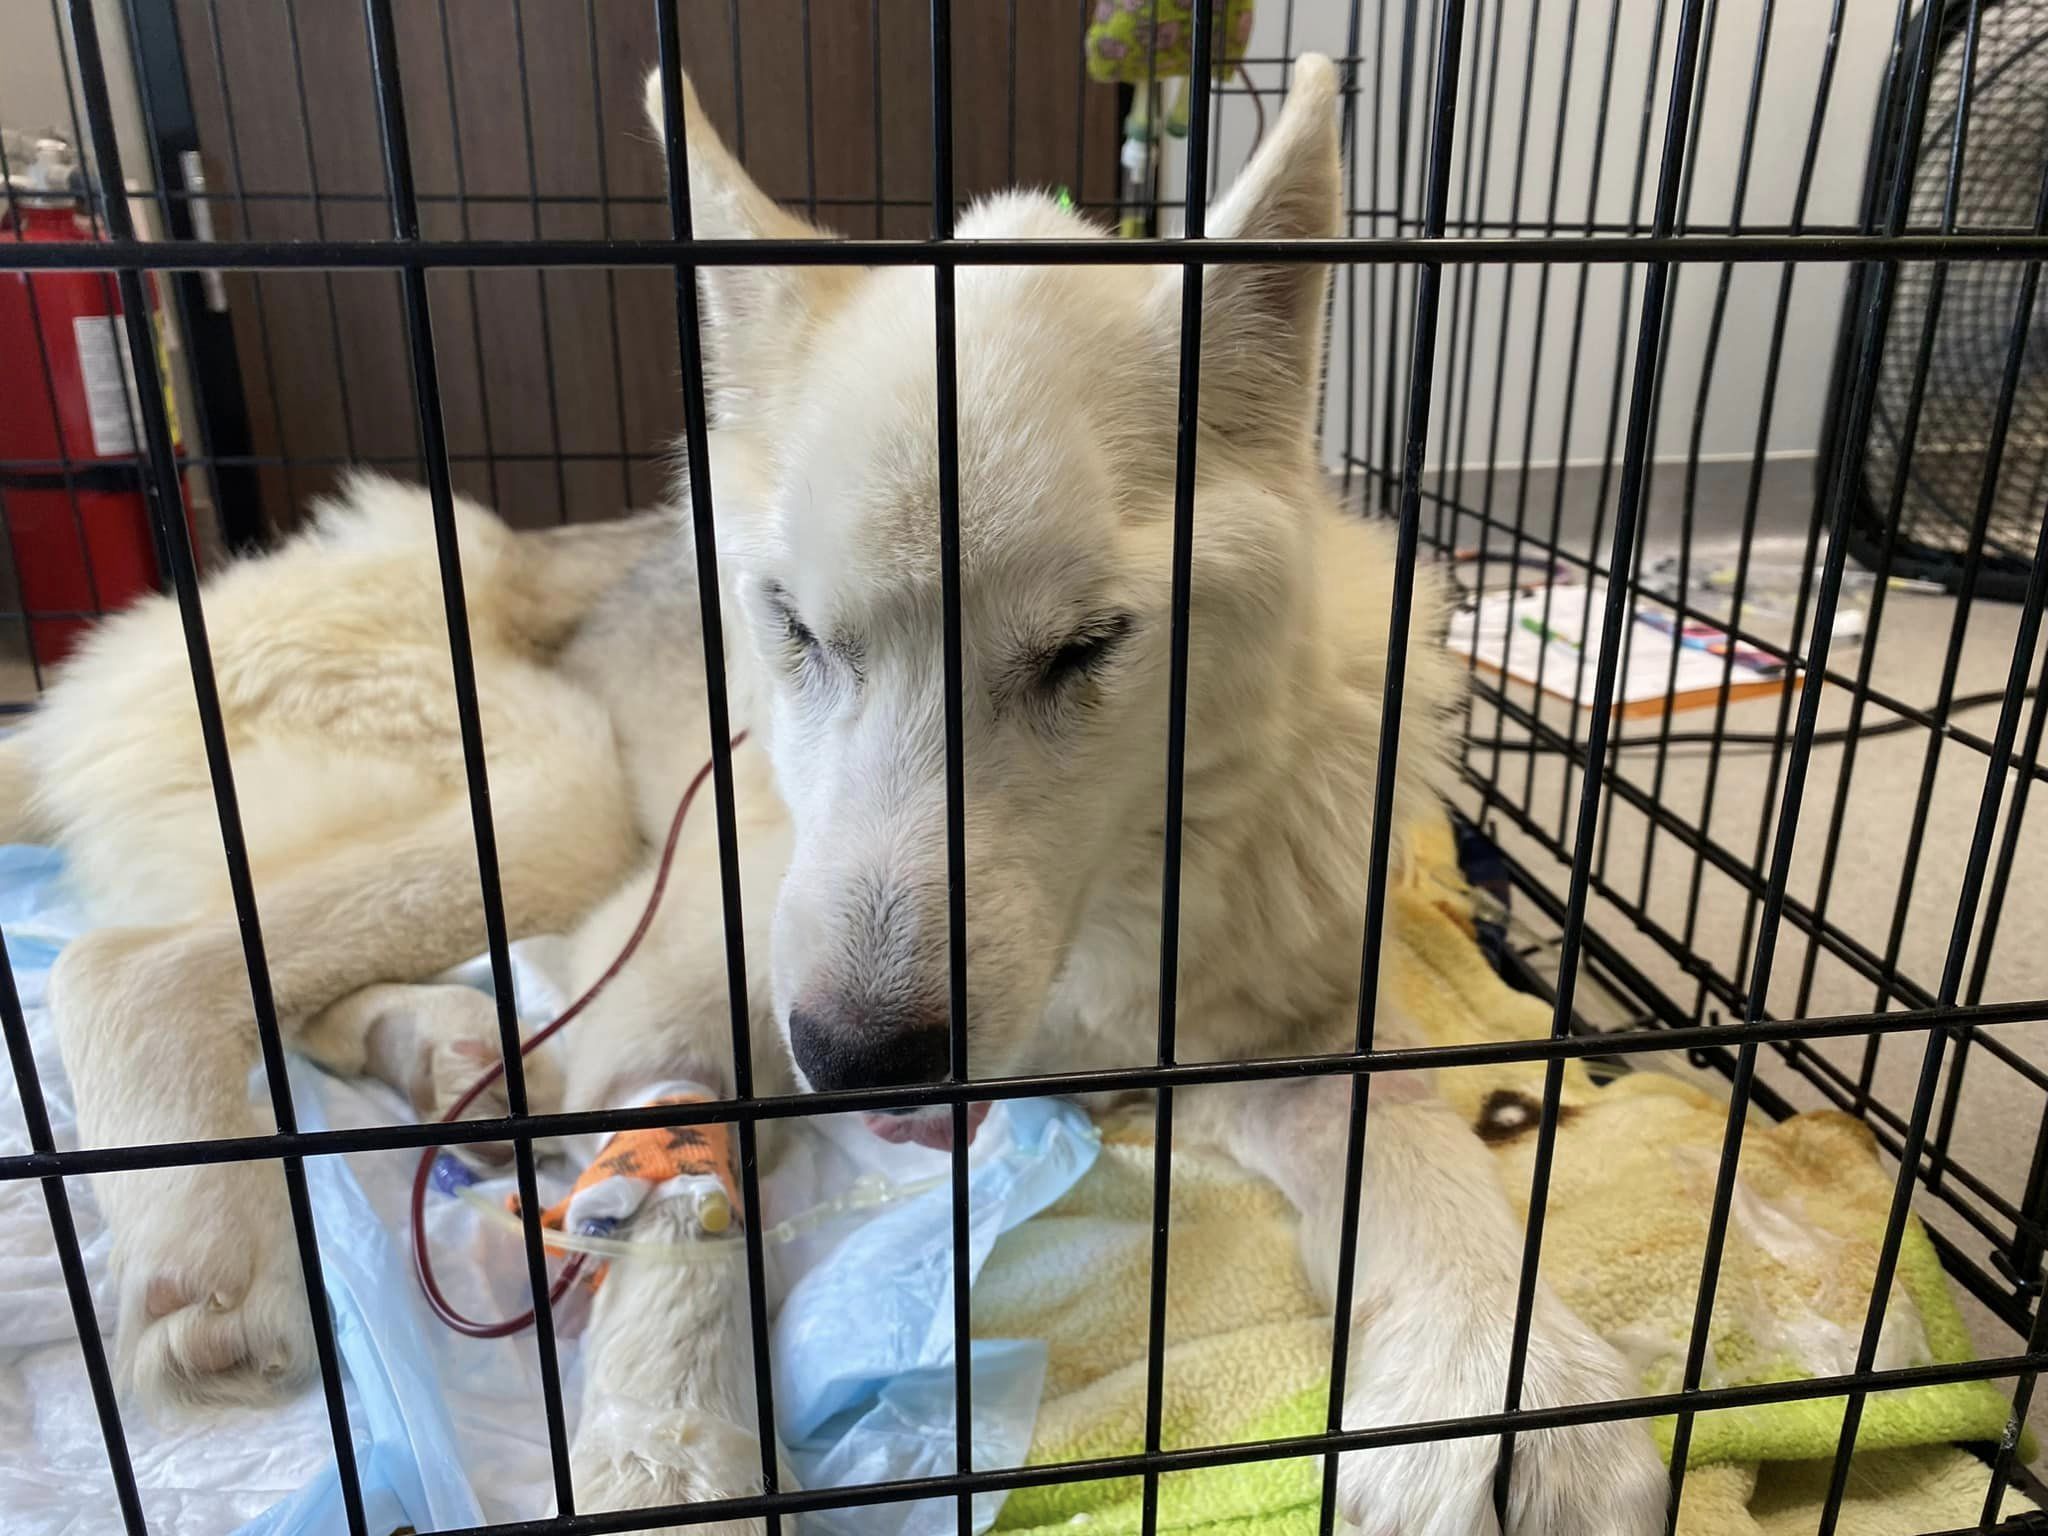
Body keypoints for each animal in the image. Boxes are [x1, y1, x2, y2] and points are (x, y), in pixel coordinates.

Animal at [16, 54, 1671, 1536]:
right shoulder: (691, 985)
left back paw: (445, 1057)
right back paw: (214, 1242)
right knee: (130, 961)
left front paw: (1505, 1389)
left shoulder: (1292, 1025)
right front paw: (667, 1459)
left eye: (1089, 647)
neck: (1097, 926)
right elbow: (675, 1190)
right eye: (793, 628)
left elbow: (1414, 1138)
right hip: (547, 796)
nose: (861, 1059)